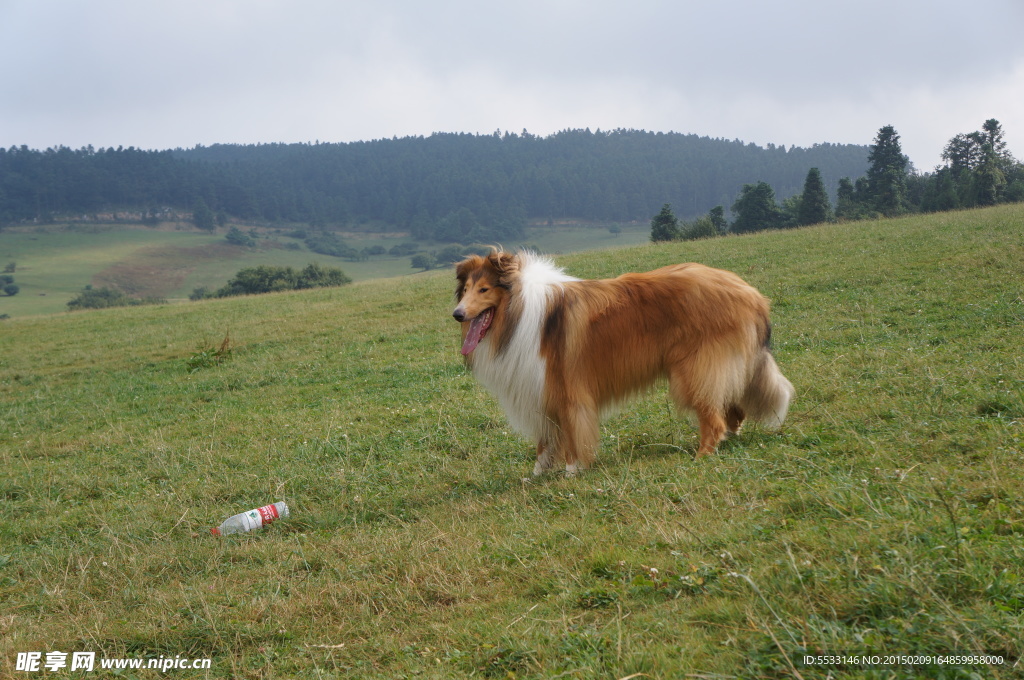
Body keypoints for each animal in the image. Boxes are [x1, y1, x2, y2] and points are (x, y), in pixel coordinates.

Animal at [452, 246, 794, 475]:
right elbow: (545, 440)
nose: (457, 314)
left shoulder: (567, 390)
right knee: (732, 406)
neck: (519, 312)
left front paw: (572, 471)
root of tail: (752, 294)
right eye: (465, 289)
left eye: (484, 289)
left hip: (694, 370)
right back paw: (727, 441)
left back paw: (703, 454)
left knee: (714, 417)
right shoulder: (540, 389)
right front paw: (537, 474)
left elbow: (572, 433)